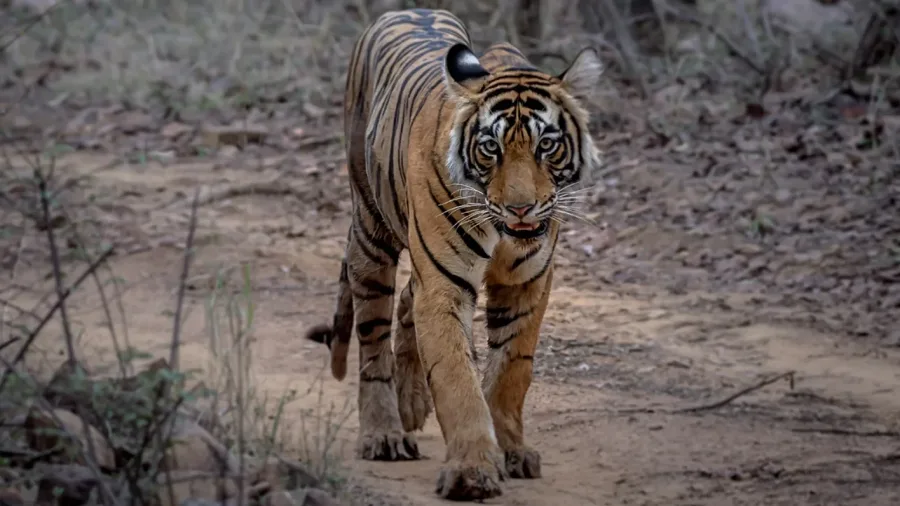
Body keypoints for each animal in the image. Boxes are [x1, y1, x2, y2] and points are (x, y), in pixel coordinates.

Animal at [304, 8, 603, 501]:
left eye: (546, 144)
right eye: (490, 148)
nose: (520, 207)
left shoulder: (527, 283)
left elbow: (511, 370)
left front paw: (513, 451)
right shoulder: (444, 285)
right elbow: (456, 376)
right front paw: (472, 471)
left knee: (407, 300)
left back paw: (410, 403)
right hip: (370, 232)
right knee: (373, 340)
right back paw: (384, 433)